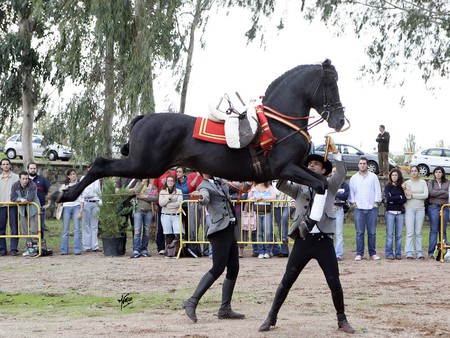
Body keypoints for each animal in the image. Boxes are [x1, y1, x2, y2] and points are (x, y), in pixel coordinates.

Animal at [54, 59, 346, 202]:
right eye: (330, 84)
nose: (340, 121)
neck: (279, 122)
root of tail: (145, 117)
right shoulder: (286, 168)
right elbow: (320, 184)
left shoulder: (292, 171)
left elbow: (320, 184)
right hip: (144, 164)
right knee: (100, 164)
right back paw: (64, 194)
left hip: (145, 165)